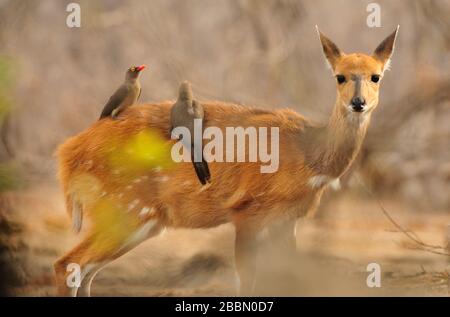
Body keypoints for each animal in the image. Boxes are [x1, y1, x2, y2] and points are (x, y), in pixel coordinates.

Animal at [54, 27, 400, 296]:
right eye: (340, 77)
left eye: (376, 77)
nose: (358, 103)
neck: (309, 157)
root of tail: (67, 154)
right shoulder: (248, 212)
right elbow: (247, 281)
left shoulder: (288, 220)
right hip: (125, 210)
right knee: (66, 264)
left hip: (141, 220)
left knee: (84, 272)